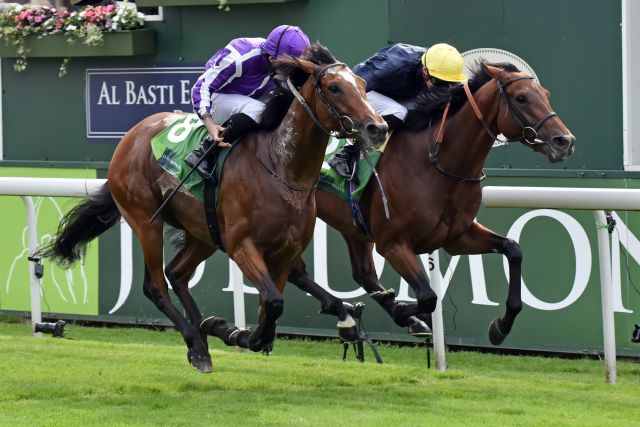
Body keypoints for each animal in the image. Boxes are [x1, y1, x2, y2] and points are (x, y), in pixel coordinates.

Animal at [43, 45, 390, 372]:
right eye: (334, 87)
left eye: (362, 84)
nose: (378, 128)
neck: (281, 169)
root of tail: (132, 134)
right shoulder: (241, 245)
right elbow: (273, 303)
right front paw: (245, 336)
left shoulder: (284, 251)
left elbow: (270, 306)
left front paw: (237, 331)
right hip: (145, 221)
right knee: (156, 285)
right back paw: (197, 345)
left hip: (203, 232)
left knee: (177, 273)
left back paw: (210, 326)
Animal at [288, 62, 576, 344]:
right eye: (522, 98)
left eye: (546, 94)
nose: (565, 141)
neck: (437, 167)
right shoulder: (393, 243)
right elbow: (428, 296)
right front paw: (405, 312)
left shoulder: (457, 237)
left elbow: (513, 249)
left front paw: (501, 326)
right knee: (296, 271)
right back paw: (346, 312)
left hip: (353, 225)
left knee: (362, 274)